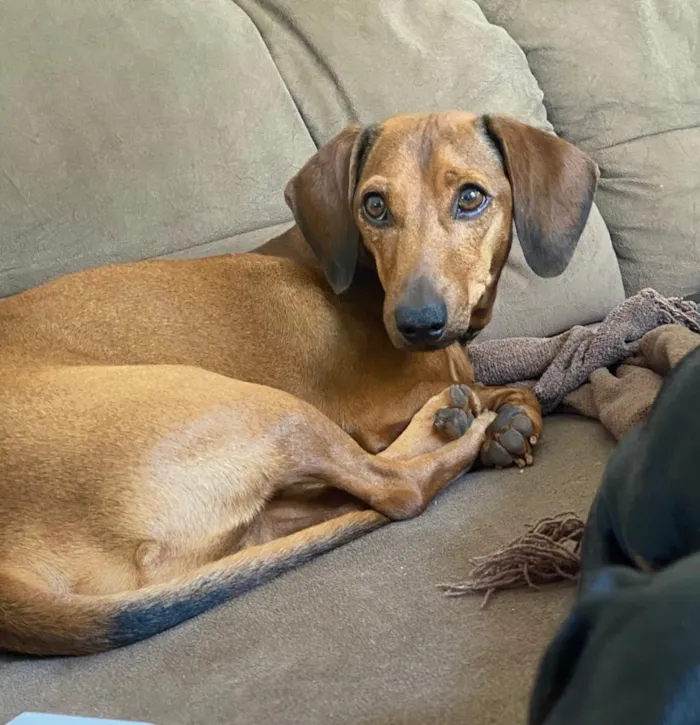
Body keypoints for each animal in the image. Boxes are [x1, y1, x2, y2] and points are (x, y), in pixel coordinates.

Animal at [0, 110, 596, 652]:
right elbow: (500, 391)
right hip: (262, 407)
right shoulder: (377, 412)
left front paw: (514, 426)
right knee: (399, 488)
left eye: (471, 198)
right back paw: (456, 424)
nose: (416, 323)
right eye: (374, 205)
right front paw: (500, 419)